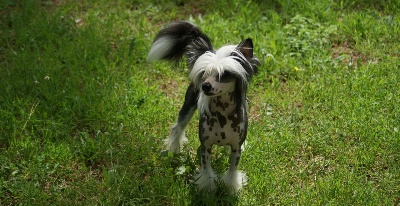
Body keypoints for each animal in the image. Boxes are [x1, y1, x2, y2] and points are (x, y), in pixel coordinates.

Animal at [146, 20, 260, 193]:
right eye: (205, 73)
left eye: (224, 74)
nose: (205, 86)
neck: (222, 113)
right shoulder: (205, 147)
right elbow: (206, 170)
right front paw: (207, 188)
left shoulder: (236, 148)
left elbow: (233, 169)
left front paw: (231, 187)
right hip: (188, 106)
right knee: (178, 128)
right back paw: (173, 147)